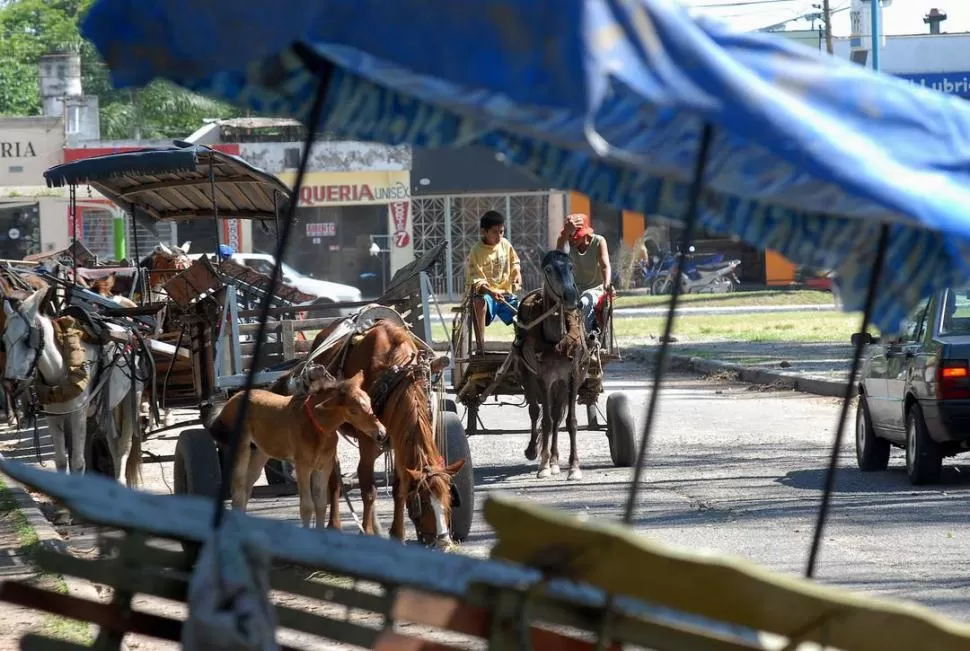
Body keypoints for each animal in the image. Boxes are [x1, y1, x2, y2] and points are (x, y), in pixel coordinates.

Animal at [0, 290, 148, 484]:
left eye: (27, 338)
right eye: (4, 341)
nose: (10, 382)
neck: (60, 368)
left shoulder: (78, 413)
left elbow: (77, 462)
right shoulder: (53, 414)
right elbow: (61, 460)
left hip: (132, 397)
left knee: (124, 445)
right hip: (107, 407)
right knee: (113, 444)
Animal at [274, 318, 464, 548]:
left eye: (448, 498)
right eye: (424, 502)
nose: (444, 544)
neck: (393, 372)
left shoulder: (397, 439)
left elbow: (400, 487)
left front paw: (397, 534)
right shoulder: (367, 437)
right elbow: (368, 489)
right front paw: (366, 532)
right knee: (334, 479)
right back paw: (335, 525)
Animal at [520, 250, 588, 478]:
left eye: (571, 266)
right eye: (548, 269)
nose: (571, 297)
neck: (557, 341)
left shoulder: (573, 377)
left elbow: (570, 422)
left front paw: (574, 467)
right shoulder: (543, 378)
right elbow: (546, 421)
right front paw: (543, 466)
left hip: (561, 385)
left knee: (558, 417)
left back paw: (556, 460)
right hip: (528, 376)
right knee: (535, 412)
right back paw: (535, 452)